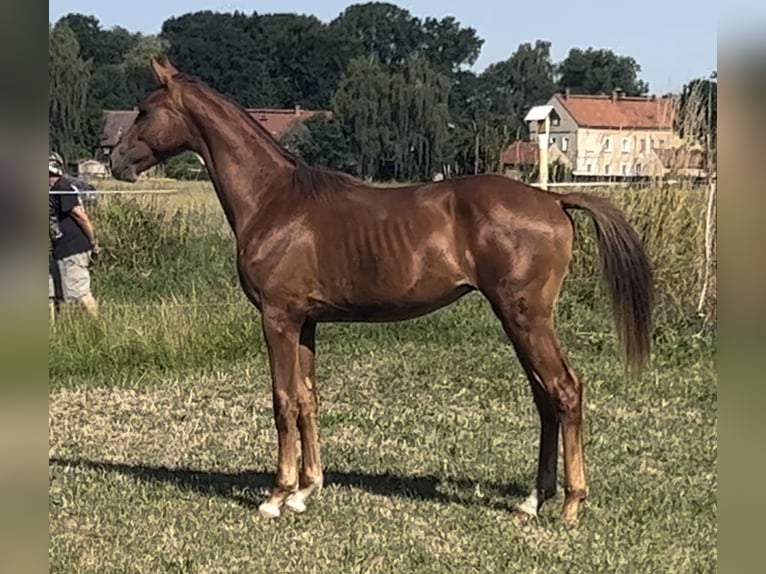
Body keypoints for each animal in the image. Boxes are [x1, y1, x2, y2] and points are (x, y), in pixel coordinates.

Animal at [111, 59, 656, 528]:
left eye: (144, 109)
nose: (111, 158)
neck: (274, 200)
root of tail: (554, 199)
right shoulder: (306, 323)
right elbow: (308, 400)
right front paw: (307, 490)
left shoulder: (278, 319)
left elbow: (283, 401)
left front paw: (276, 495)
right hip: (519, 320)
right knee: (545, 397)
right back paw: (532, 500)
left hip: (526, 317)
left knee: (564, 390)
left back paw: (570, 504)